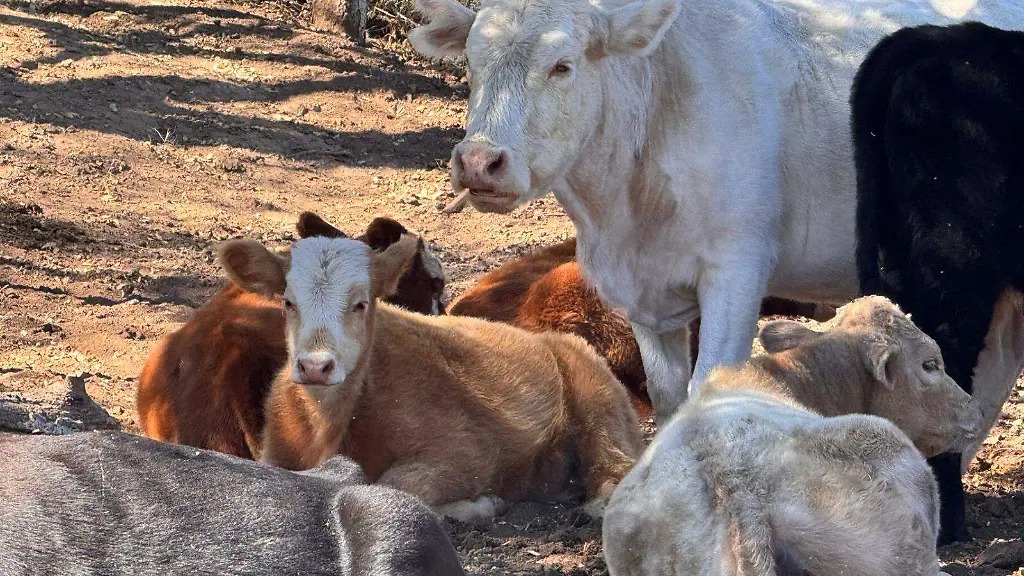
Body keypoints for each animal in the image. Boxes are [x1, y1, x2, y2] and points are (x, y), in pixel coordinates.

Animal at [407, 0, 1024, 426]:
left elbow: (710, 385)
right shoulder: (643, 297)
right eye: (472, 62)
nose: (479, 161)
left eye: (562, 66)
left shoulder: (737, 268)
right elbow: (668, 395)